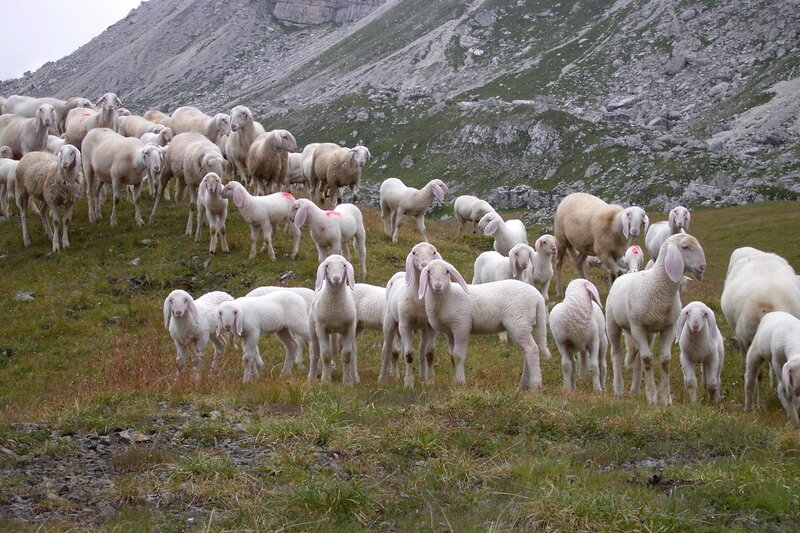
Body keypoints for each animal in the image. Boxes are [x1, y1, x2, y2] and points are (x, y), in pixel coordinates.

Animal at [307, 255, 358, 384]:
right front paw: (326, 380)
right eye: (327, 266)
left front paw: (347, 382)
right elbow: (325, 355)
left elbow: (347, 355)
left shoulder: (350, 327)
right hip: (313, 328)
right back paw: (311, 377)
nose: (336, 278)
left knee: (353, 353)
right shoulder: (321, 328)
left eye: (344, 265)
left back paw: (355, 377)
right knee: (314, 352)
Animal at [378, 242, 442, 388]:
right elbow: (408, 354)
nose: (425, 265)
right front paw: (408, 383)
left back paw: (423, 376)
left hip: (423, 328)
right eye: (414, 252)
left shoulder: (432, 327)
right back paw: (382, 378)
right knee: (387, 349)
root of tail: (399, 274)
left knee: (421, 350)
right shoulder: (405, 325)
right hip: (390, 322)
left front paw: (430, 381)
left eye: (434, 252)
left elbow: (429, 353)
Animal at [418, 259, 550, 390]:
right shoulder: (449, 332)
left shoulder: (461, 325)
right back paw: (523, 385)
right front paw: (454, 381)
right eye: (429, 272)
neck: (448, 296)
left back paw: (535, 385)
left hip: (519, 322)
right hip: (522, 324)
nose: (437, 286)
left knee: (532, 349)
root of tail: (537, 297)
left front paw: (460, 382)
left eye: (447, 271)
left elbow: (458, 355)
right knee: (528, 350)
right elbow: (451, 356)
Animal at [605, 233, 706, 405]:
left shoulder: (669, 328)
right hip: (613, 324)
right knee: (617, 353)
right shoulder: (637, 327)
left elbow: (665, 360)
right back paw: (618, 389)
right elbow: (647, 359)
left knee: (638, 357)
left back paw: (635, 390)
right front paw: (652, 397)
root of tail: (624, 275)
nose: (702, 267)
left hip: (649, 333)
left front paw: (665, 399)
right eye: (685, 247)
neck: (657, 286)